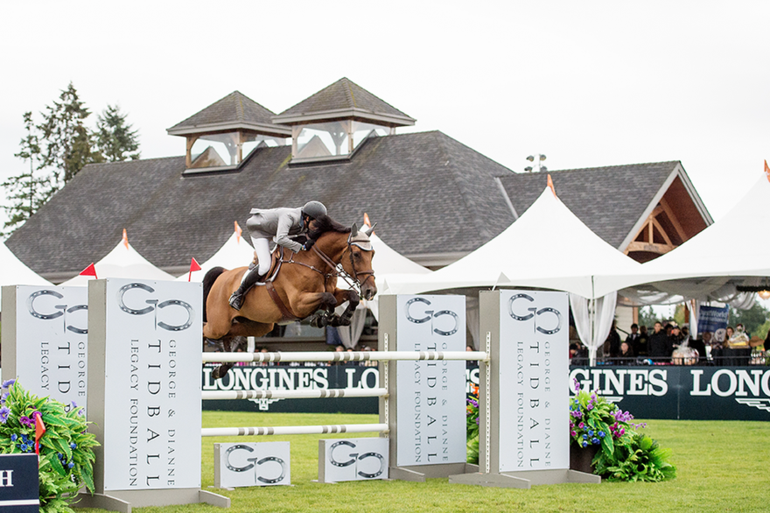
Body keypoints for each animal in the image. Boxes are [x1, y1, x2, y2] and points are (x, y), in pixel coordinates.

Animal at [201, 219, 376, 376]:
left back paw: (221, 368)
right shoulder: (299, 304)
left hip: (257, 326)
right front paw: (327, 318)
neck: (315, 264)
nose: (371, 291)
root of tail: (223, 273)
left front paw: (340, 318)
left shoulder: (328, 294)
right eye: (356, 254)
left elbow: (351, 296)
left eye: (373, 254)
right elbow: (329, 299)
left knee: (228, 335)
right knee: (206, 331)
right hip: (218, 325)